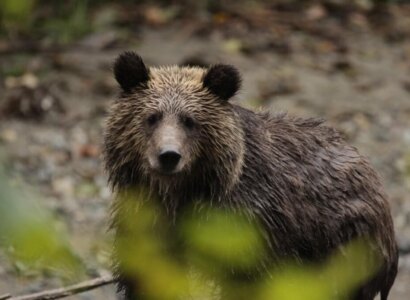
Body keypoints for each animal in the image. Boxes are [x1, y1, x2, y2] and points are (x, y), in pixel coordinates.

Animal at [104, 52, 398, 300]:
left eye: (190, 121)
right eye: (152, 117)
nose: (168, 156)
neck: (181, 193)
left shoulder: (250, 227)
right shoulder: (146, 219)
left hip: (346, 242)